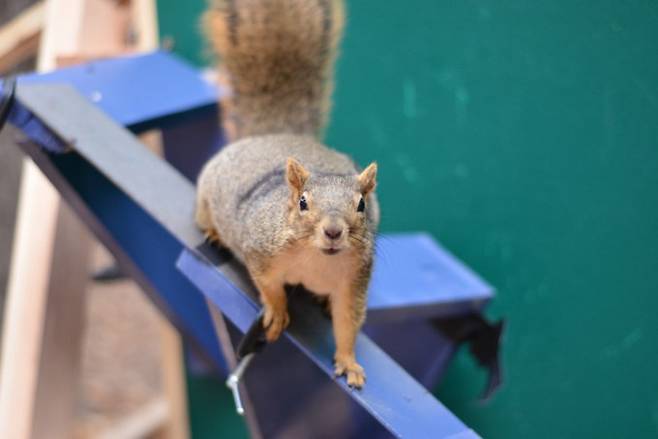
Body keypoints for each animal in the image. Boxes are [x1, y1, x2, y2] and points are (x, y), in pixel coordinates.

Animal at [197, 0, 376, 388]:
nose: (333, 231)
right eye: (303, 202)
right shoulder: (259, 249)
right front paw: (278, 312)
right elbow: (268, 286)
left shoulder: (354, 281)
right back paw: (214, 232)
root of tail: (273, 135)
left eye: (362, 205)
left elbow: (348, 322)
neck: (317, 260)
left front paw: (349, 362)